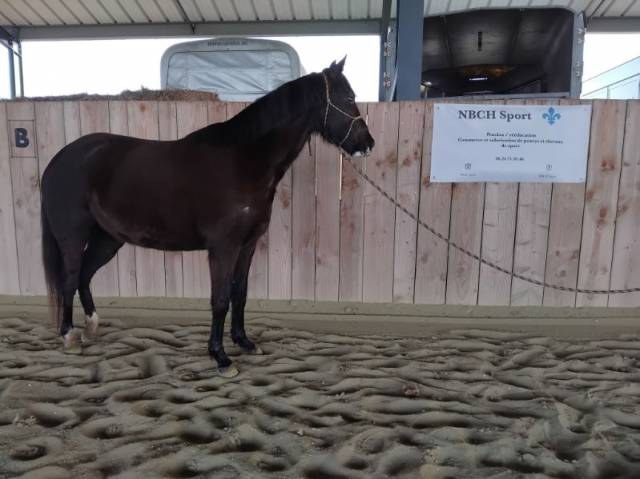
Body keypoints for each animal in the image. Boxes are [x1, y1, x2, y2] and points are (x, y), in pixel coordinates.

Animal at [40, 57, 375, 377]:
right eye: (348, 97)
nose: (367, 144)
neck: (244, 160)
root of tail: (57, 160)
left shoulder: (247, 244)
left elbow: (240, 293)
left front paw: (244, 342)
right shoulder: (223, 247)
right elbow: (221, 300)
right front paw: (221, 357)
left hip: (108, 239)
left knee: (84, 276)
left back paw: (92, 328)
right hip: (73, 237)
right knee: (70, 278)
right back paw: (70, 336)